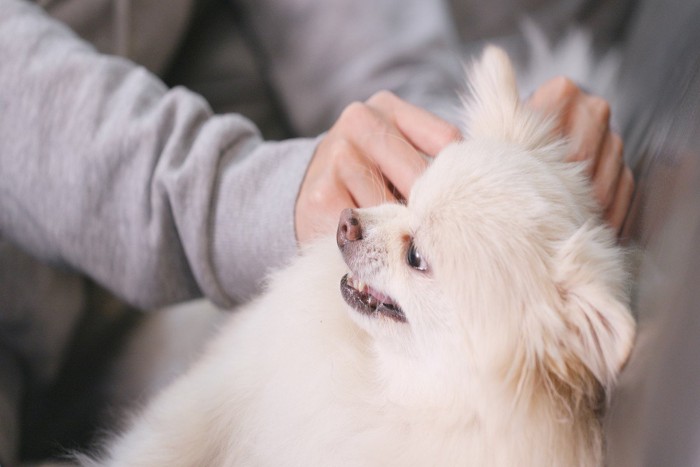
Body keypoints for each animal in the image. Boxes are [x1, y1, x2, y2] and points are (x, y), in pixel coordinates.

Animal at [86, 47, 636, 467]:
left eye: (416, 256)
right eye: (407, 195)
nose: (345, 222)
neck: (382, 386)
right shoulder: (210, 399)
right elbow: (162, 444)